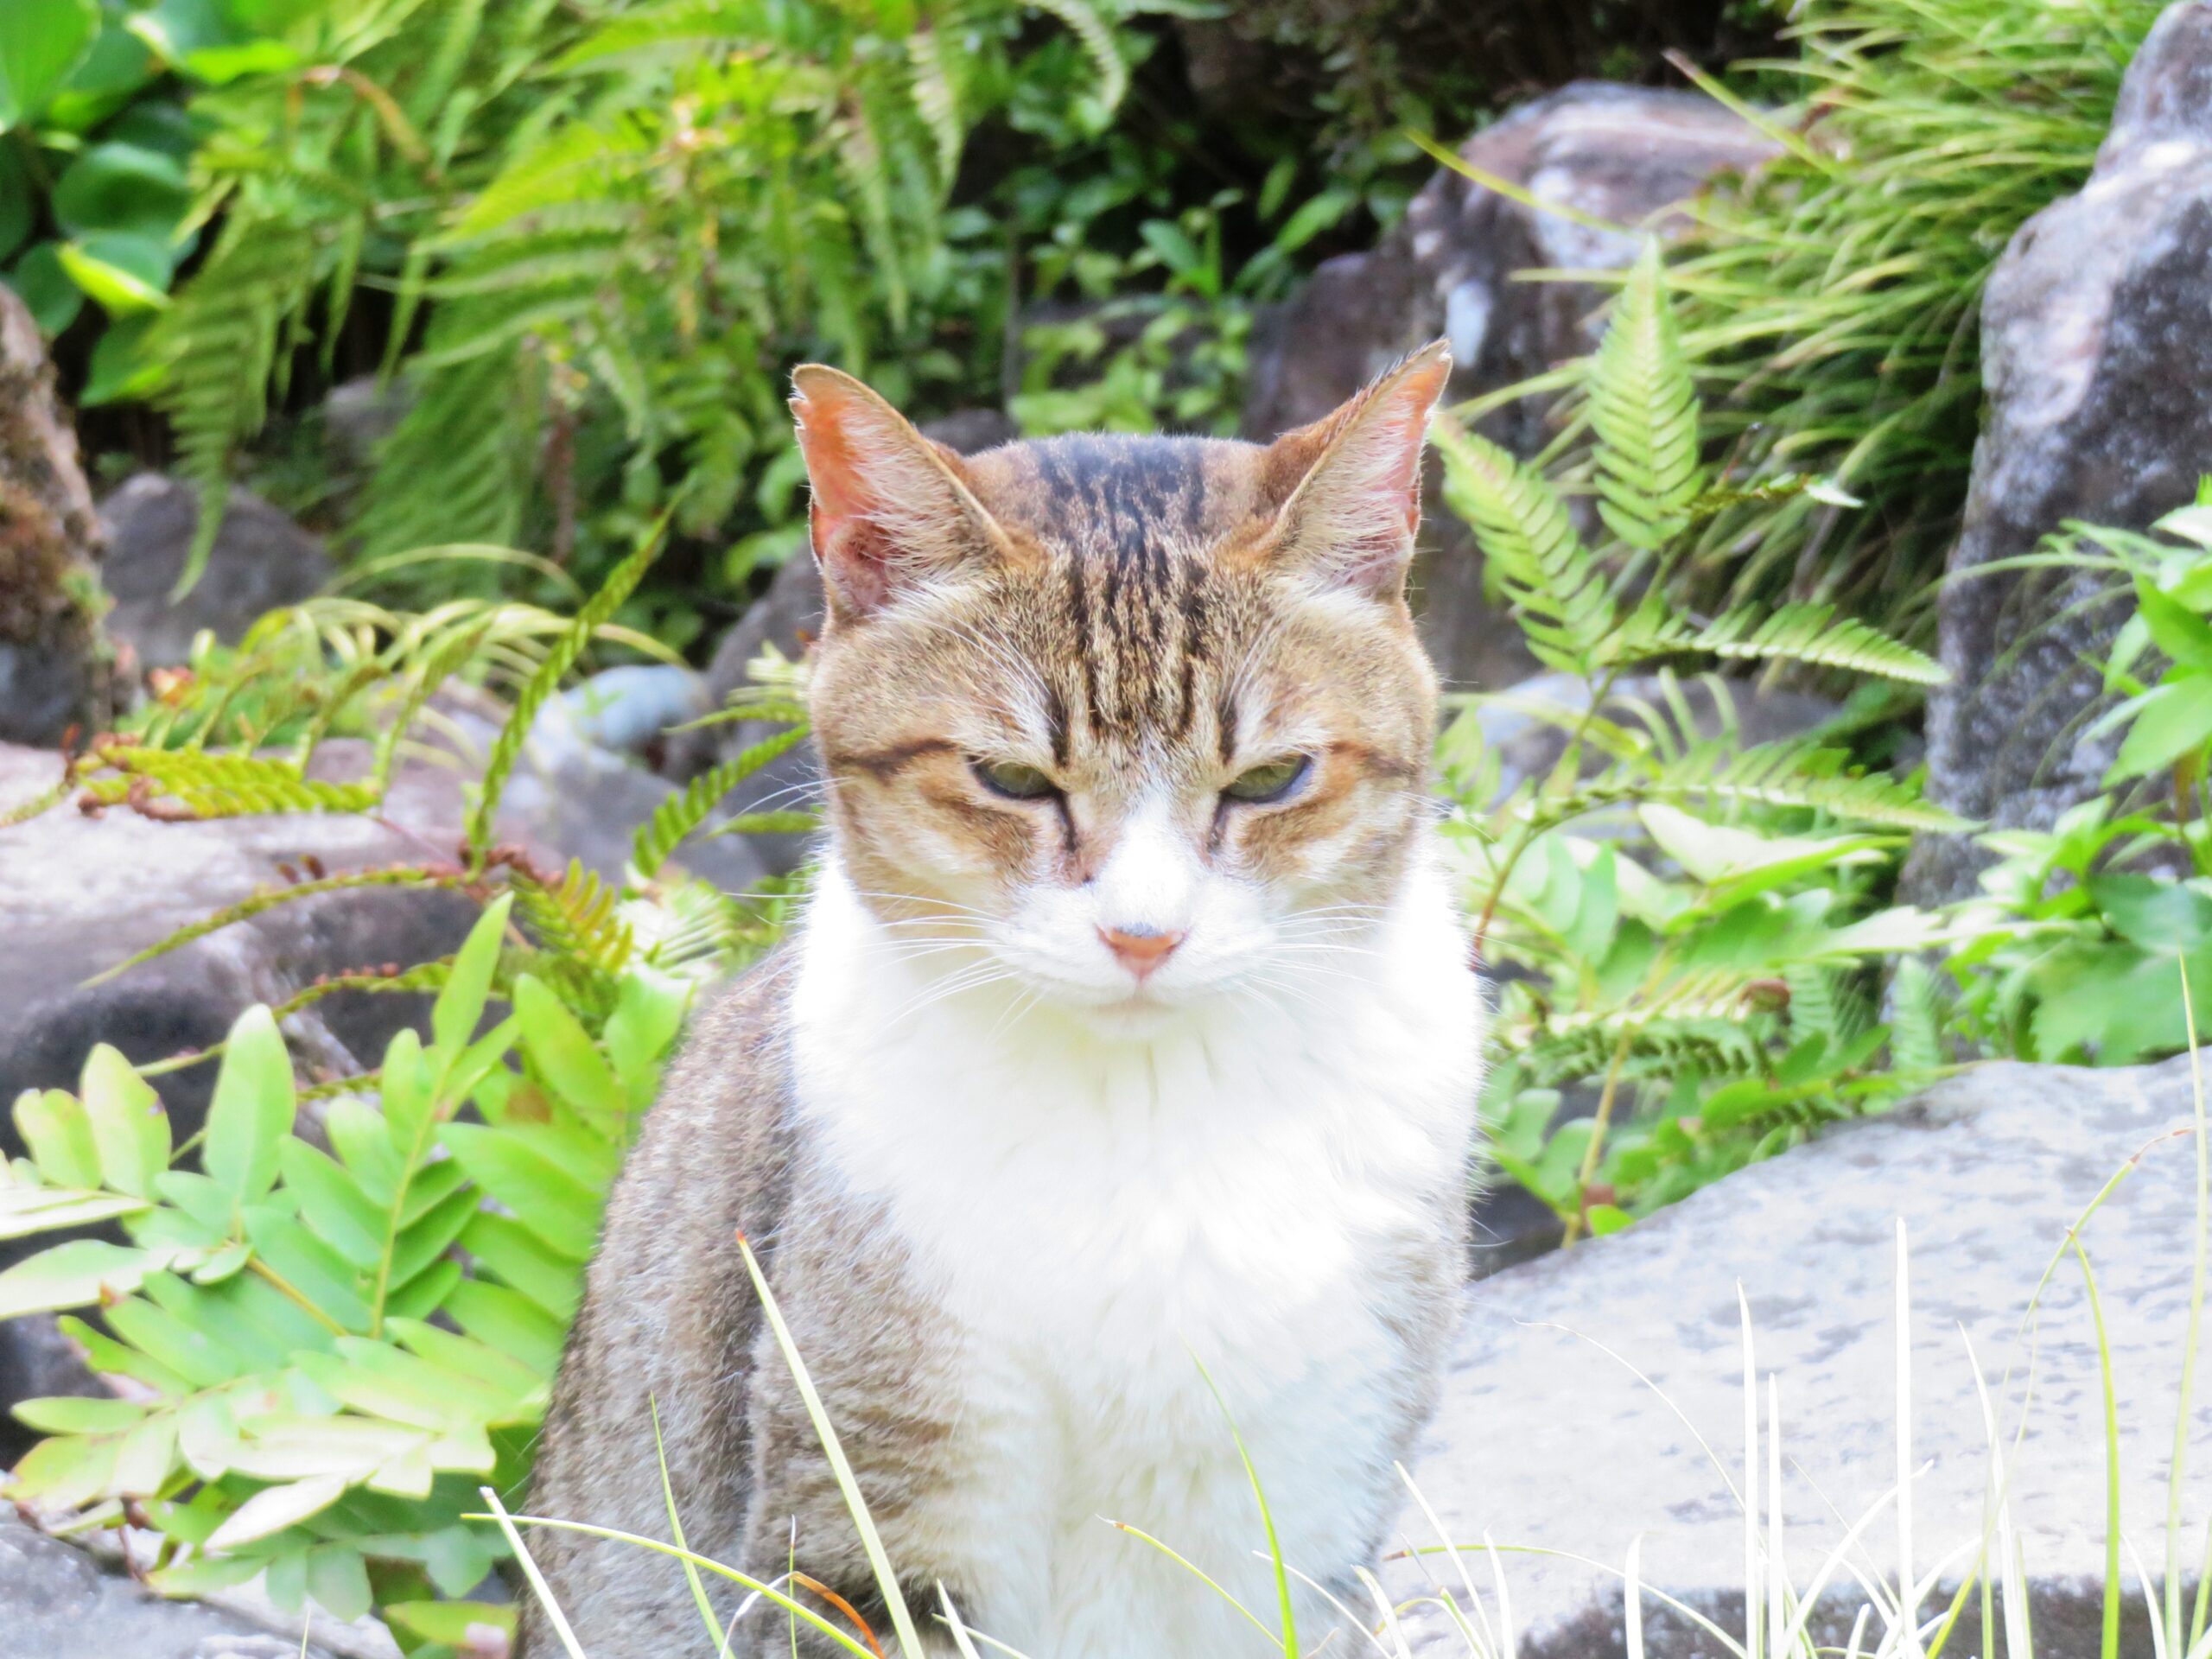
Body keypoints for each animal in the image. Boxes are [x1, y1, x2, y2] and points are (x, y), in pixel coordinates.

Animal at [519, 346, 1486, 1659]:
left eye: (1273, 778)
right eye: (1012, 780)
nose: (1143, 933)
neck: (1149, 1127)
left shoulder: (1314, 1507)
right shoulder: (868, 1521)